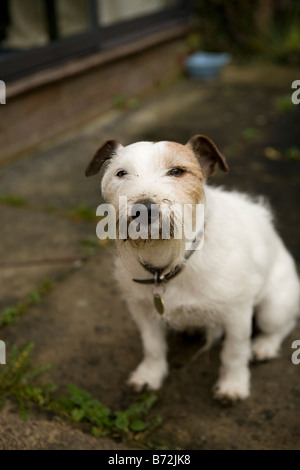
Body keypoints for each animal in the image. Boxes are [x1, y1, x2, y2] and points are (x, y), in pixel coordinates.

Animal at [85, 135, 300, 400]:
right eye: (121, 173)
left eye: (177, 171)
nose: (144, 209)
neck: (169, 261)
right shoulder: (141, 309)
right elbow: (152, 346)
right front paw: (149, 375)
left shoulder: (237, 314)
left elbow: (234, 353)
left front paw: (233, 385)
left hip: (273, 309)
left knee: (283, 325)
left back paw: (264, 346)